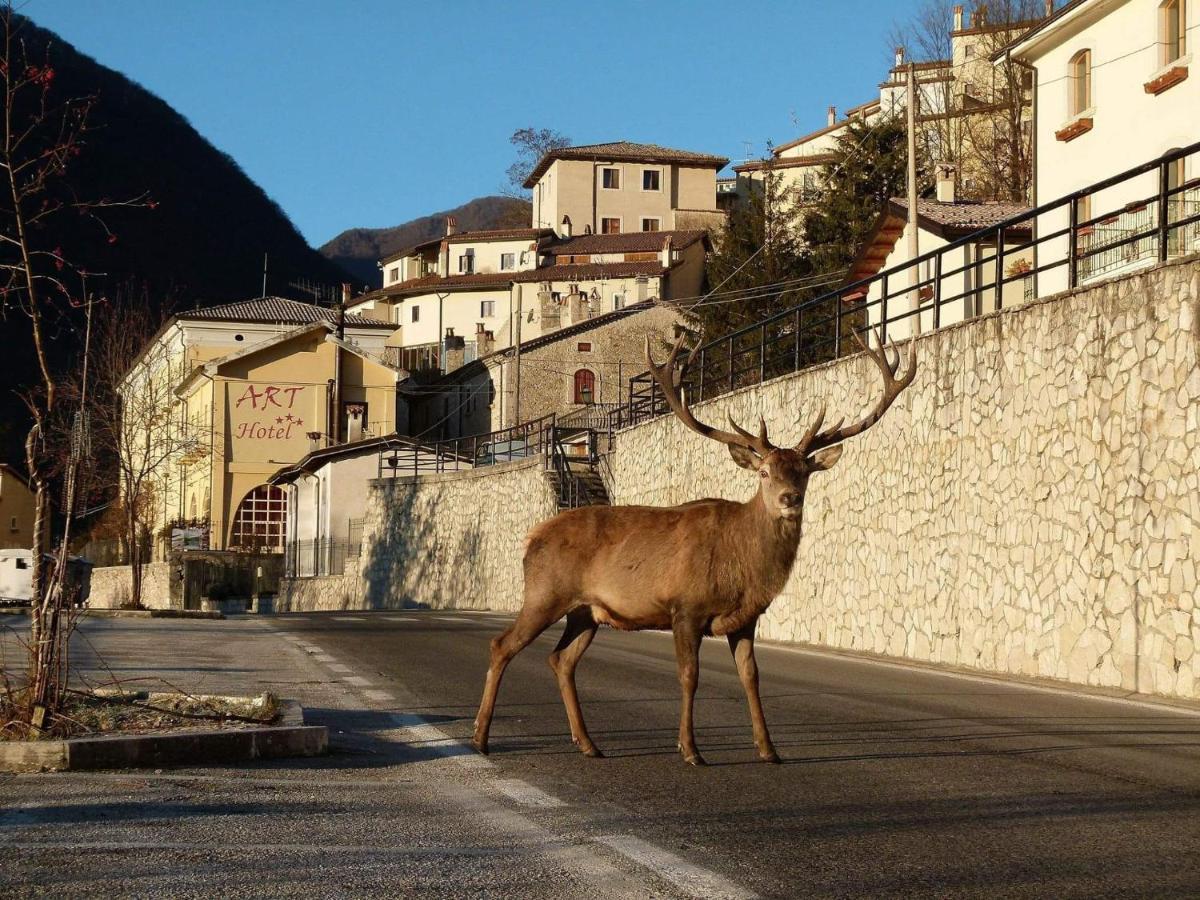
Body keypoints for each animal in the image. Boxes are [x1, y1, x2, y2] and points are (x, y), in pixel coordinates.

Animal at [472, 328, 912, 763]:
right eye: (765, 472)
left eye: (804, 471)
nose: (791, 498)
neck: (743, 566)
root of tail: (531, 538)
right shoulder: (685, 606)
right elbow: (689, 675)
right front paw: (690, 748)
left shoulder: (746, 618)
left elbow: (751, 676)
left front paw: (769, 748)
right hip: (544, 593)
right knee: (501, 645)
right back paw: (481, 737)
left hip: (586, 611)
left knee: (560, 660)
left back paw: (588, 743)